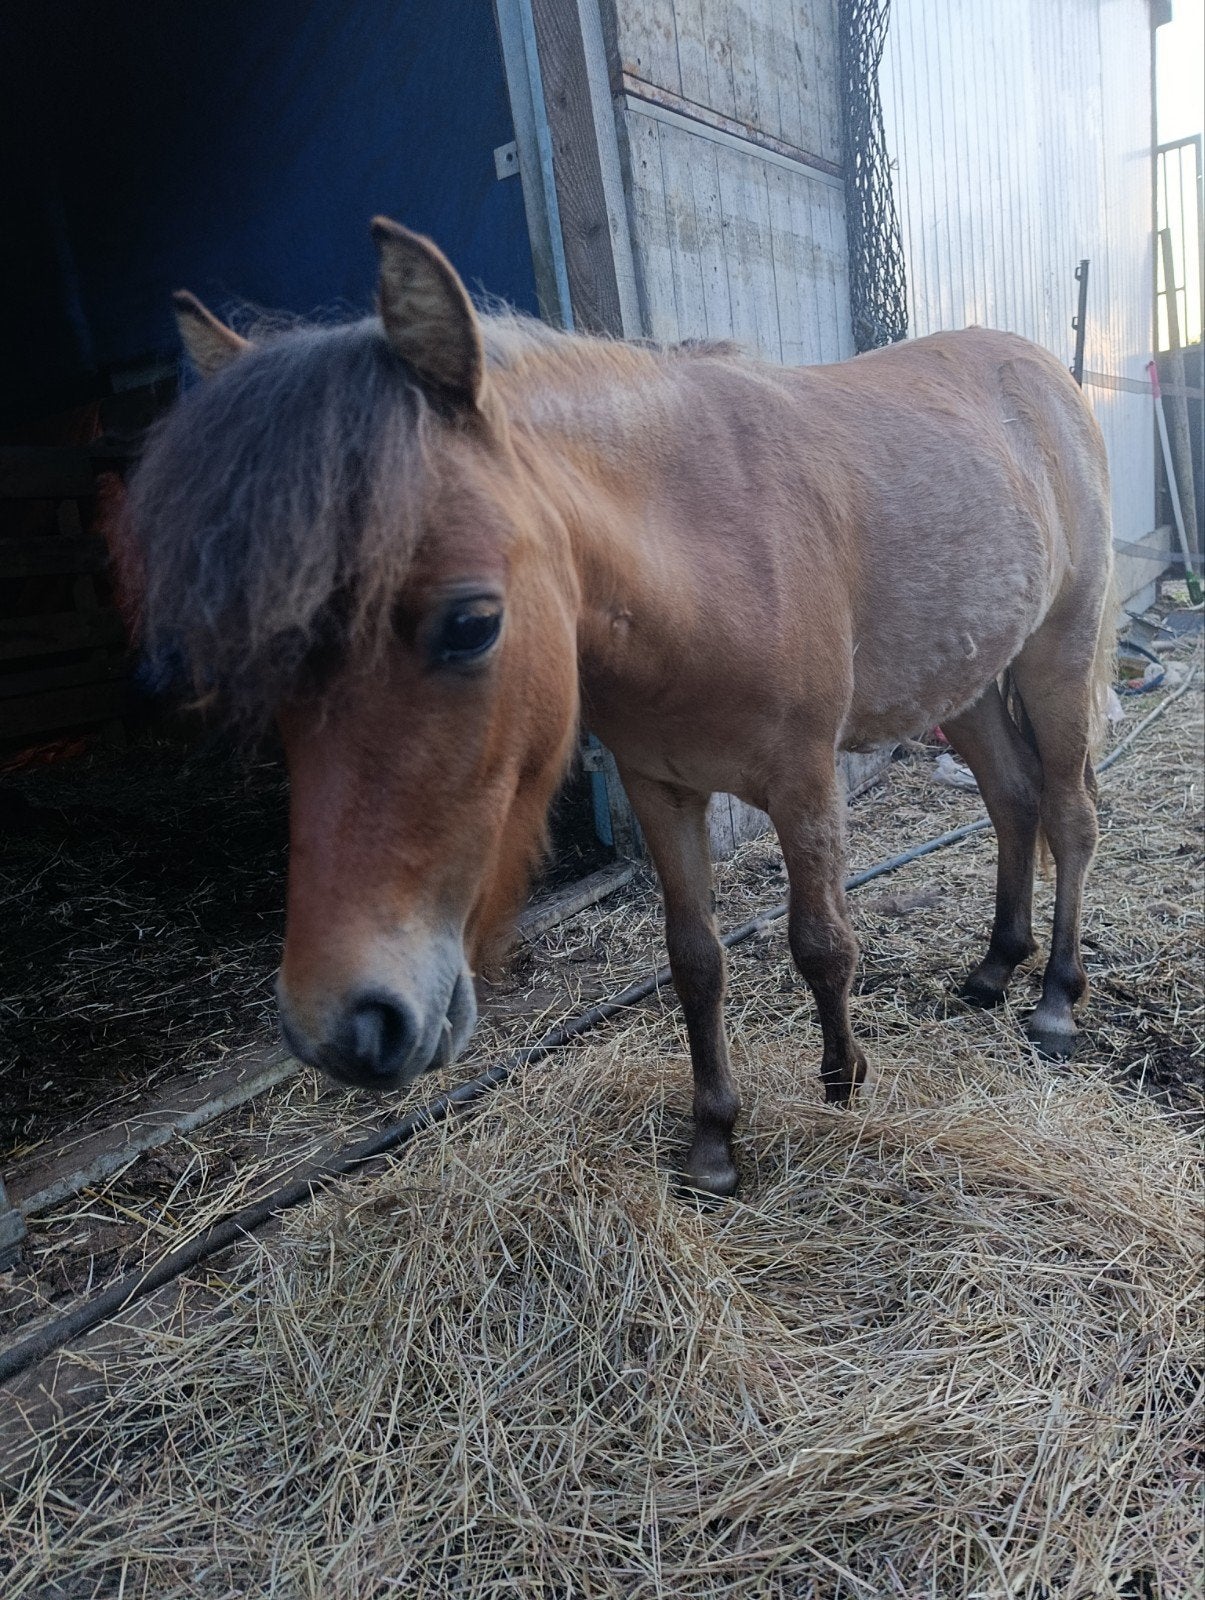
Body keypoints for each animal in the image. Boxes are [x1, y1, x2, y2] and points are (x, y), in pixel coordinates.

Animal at [124, 218, 1114, 1196]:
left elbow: (821, 944)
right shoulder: (658, 786)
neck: (703, 556)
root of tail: (1045, 373)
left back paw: (1054, 1000)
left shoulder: (804, 782)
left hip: (1055, 652)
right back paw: (994, 966)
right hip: (974, 678)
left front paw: (842, 1087)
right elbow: (694, 960)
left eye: (472, 623)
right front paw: (713, 1144)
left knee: (1068, 813)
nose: (344, 1025)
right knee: (1011, 799)